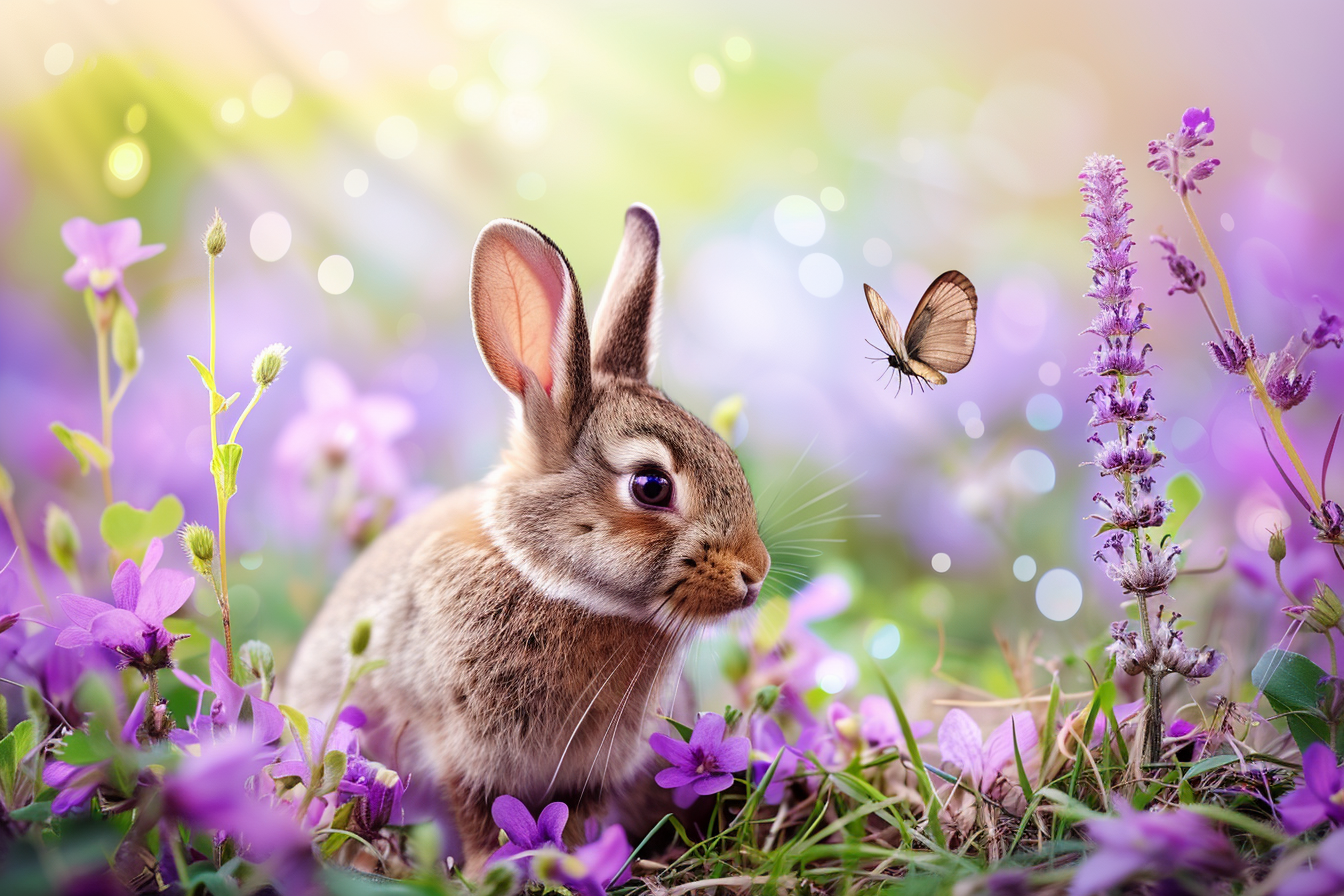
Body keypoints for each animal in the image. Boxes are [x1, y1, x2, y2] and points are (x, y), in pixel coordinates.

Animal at [285, 204, 771, 874]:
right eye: (650, 485)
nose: (755, 573)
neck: (551, 580)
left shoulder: (593, 773)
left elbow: (582, 820)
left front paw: (586, 866)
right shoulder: (461, 746)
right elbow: (481, 815)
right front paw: (492, 872)